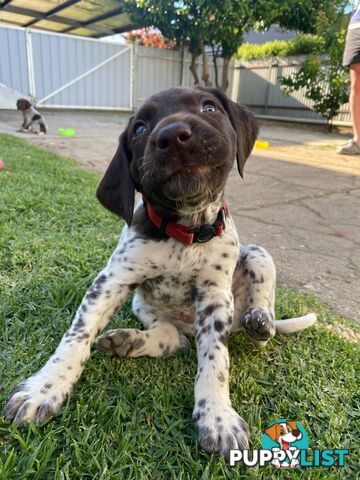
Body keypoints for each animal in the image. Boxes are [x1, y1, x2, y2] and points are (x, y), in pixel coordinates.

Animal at [4, 86, 316, 458]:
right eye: (140, 128)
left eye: (208, 108)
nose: (174, 135)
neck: (185, 230)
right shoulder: (112, 280)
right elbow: (76, 337)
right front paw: (45, 387)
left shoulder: (215, 297)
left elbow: (216, 359)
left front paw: (217, 415)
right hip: (143, 305)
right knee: (172, 339)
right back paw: (130, 341)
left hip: (256, 256)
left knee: (258, 310)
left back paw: (259, 321)